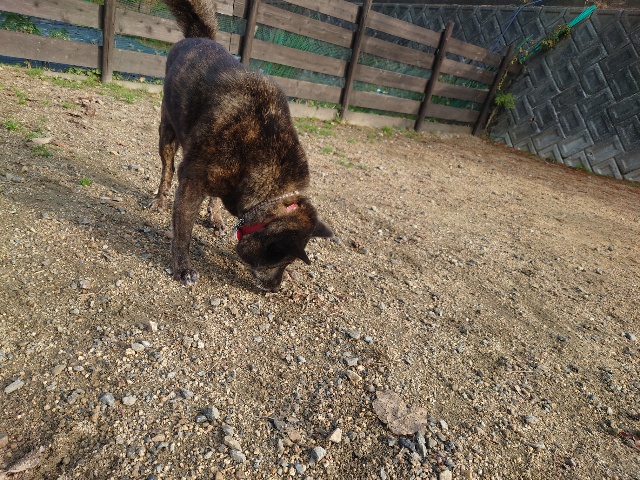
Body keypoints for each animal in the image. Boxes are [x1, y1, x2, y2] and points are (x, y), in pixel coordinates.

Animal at [149, 0, 333, 291]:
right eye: (281, 260)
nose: (276, 288)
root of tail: (199, 38)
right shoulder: (191, 182)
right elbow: (183, 231)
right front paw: (182, 267)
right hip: (167, 134)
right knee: (166, 171)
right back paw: (159, 200)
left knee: (212, 196)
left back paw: (215, 218)